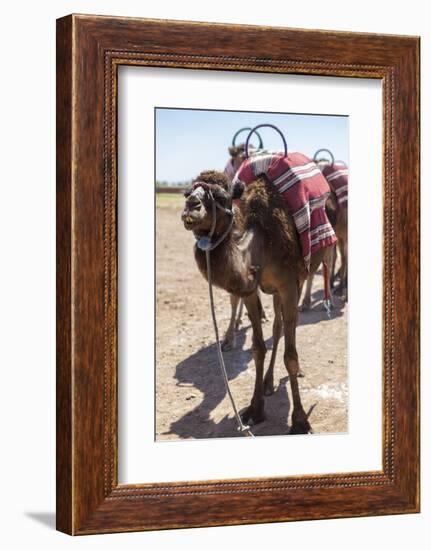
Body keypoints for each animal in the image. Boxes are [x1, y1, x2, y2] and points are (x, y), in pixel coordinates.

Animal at [182, 170, 334, 434]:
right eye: (188, 192)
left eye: (221, 197)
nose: (191, 206)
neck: (262, 243)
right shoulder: (251, 292)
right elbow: (258, 348)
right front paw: (255, 409)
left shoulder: (288, 285)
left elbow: (290, 356)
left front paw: (300, 421)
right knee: (277, 326)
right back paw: (268, 382)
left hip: (301, 276)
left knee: (285, 326)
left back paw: (292, 375)